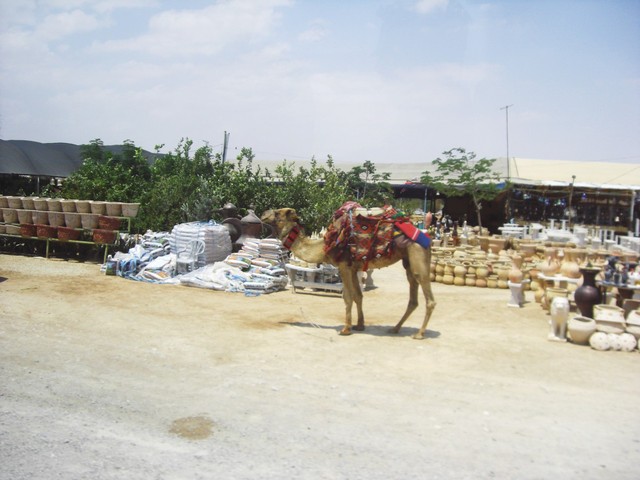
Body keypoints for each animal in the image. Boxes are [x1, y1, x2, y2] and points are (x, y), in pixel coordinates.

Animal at [260, 206, 436, 338]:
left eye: (278, 213)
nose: (262, 214)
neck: (325, 245)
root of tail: (428, 239)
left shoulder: (343, 265)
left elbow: (347, 297)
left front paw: (346, 329)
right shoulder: (353, 268)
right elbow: (358, 296)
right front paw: (359, 325)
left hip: (417, 255)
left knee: (429, 297)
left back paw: (419, 334)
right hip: (408, 262)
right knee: (413, 297)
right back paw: (395, 328)